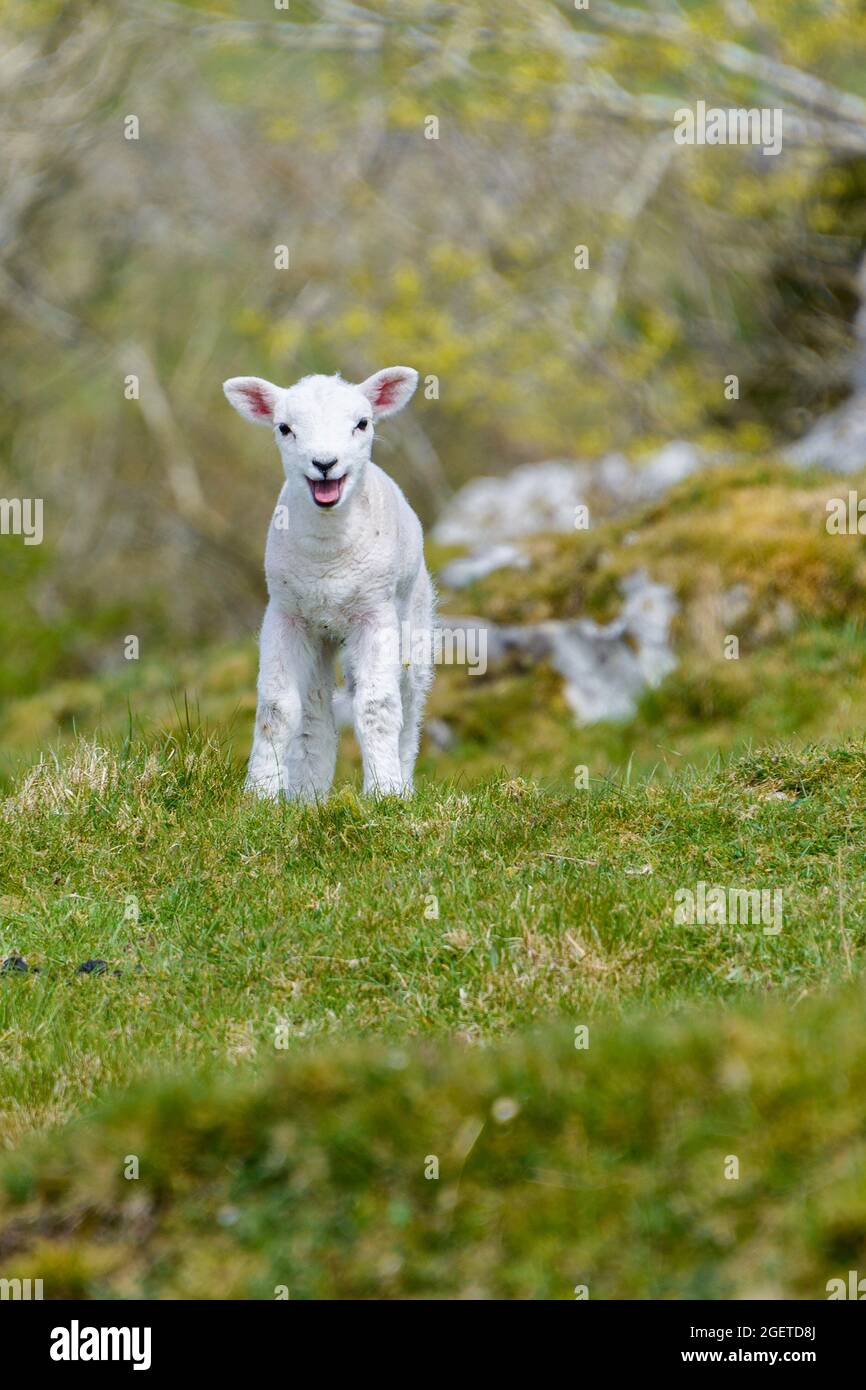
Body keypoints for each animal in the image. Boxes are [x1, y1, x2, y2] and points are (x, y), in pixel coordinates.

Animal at [222, 364, 433, 800]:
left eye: (362, 423)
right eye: (284, 427)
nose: (324, 463)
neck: (328, 556)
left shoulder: (375, 614)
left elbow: (377, 705)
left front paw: (384, 793)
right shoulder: (284, 615)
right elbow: (277, 708)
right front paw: (260, 794)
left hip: (414, 621)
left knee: (409, 702)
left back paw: (402, 783)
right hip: (318, 635)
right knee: (314, 710)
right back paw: (309, 796)